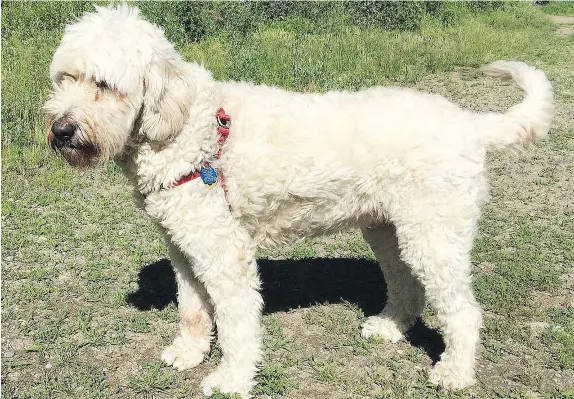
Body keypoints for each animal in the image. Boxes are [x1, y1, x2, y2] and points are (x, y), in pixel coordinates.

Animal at [42, 4, 556, 398]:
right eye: (64, 78)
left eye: (103, 84)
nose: (61, 130)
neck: (187, 128)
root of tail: (471, 123)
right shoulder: (183, 247)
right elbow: (192, 309)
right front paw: (188, 353)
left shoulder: (224, 253)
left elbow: (236, 322)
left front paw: (231, 379)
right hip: (388, 231)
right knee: (406, 285)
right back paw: (389, 327)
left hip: (434, 236)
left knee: (463, 311)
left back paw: (454, 373)